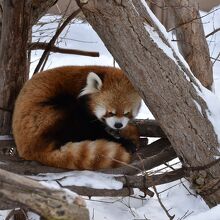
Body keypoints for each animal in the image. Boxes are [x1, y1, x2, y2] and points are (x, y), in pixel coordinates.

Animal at [12, 65, 141, 170]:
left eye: (127, 113)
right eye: (110, 113)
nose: (118, 125)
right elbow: (92, 130)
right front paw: (123, 141)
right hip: (45, 116)